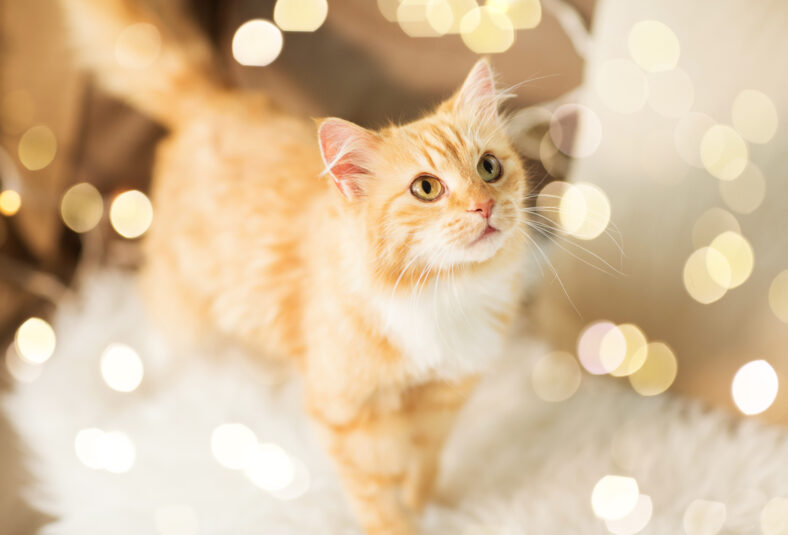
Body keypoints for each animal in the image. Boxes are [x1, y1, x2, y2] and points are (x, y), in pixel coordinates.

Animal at [58, 2, 532, 532]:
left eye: (489, 168)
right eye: (426, 188)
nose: (483, 207)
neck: (442, 293)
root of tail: (219, 99)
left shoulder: (444, 400)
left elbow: (425, 467)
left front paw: (431, 504)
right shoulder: (347, 419)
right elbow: (378, 500)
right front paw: (403, 521)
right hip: (182, 301)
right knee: (160, 340)